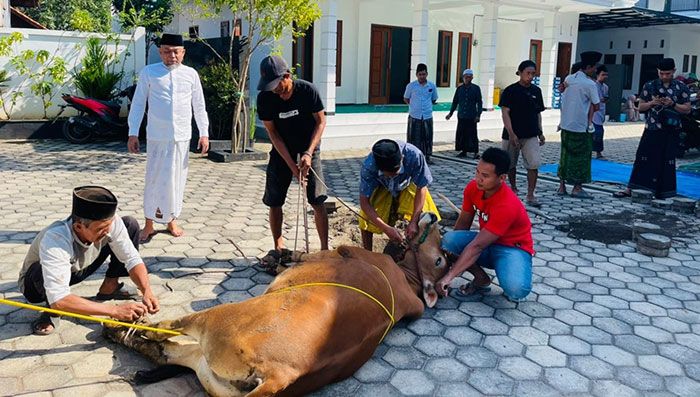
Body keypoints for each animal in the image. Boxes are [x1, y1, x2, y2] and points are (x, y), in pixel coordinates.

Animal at [106, 212, 452, 394]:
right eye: (441, 257)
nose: (435, 218)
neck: (405, 276)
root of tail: (279, 376)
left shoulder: (340, 251)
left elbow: (305, 255)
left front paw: (284, 256)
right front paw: (278, 258)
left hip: (215, 321)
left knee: (165, 330)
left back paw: (122, 324)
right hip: (207, 369)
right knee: (164, 351)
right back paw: (124, 335)